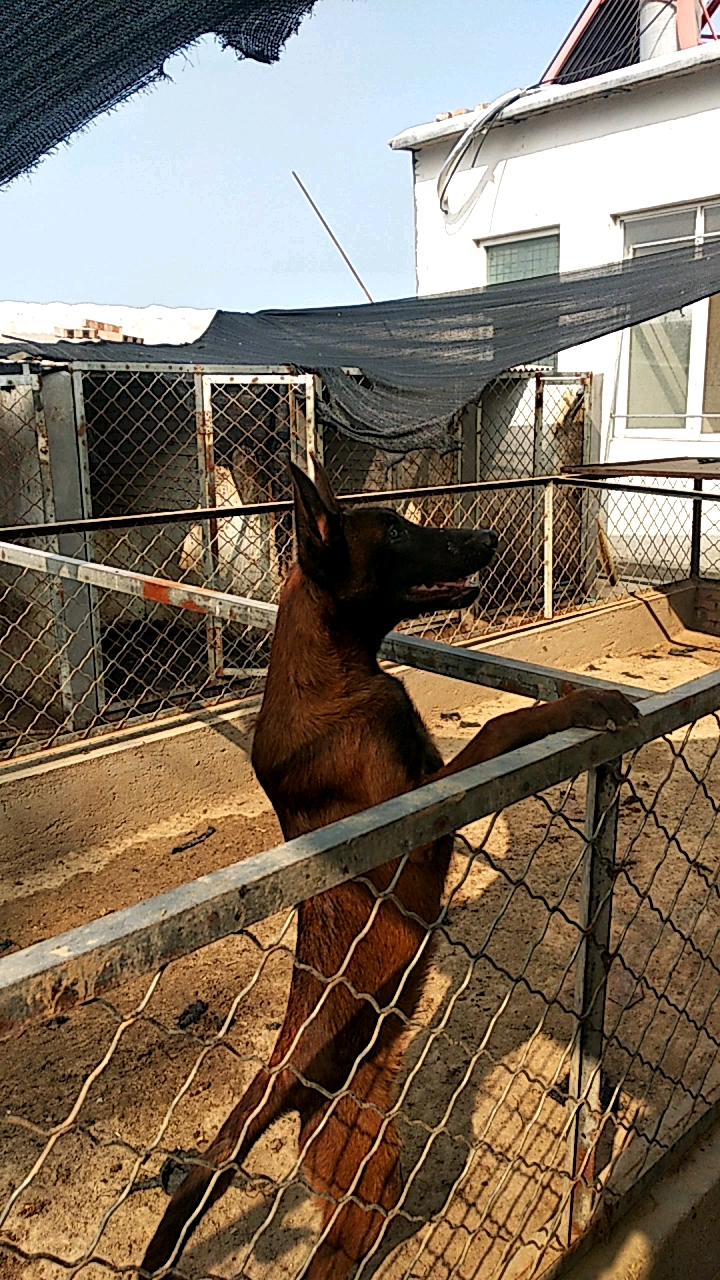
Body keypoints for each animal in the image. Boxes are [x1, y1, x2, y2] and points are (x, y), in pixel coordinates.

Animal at [141, 460, 632, 1280]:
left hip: (372, 1158)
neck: (333, 673)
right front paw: (586, 701)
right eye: (398, 532)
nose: (488, 535)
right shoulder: (426, 808)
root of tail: (282, 1077)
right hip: (359, 1171)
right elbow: (505, 723)